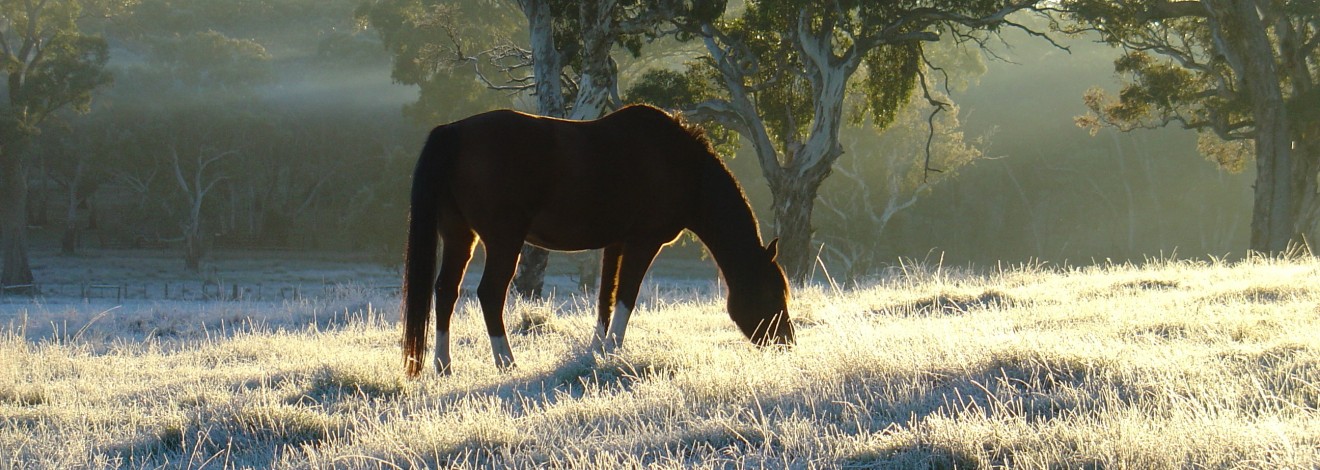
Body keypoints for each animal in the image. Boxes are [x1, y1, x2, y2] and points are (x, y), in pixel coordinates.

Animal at [402, 104, 794, 377]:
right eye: (773, 293)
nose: (786, 341)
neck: (680, 164)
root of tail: (454, 133)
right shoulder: (643, 242)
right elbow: (627, 296)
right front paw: (615, 351)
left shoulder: (615, 244)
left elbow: (606, 296)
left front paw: (598, 352)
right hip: (503, 240)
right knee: (489, 294)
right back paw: (506, 362)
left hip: (460, 235)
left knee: (446, 291)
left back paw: (443, 365)